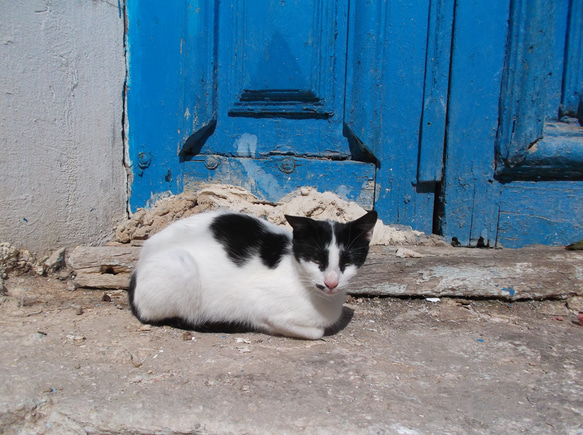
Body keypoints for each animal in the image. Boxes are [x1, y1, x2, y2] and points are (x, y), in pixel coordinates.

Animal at [126, 210, 378, 340]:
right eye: (317, 260)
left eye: (348, 261)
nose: (331, 282)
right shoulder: (257, 302)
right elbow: (314, 332)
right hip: (180, 267)